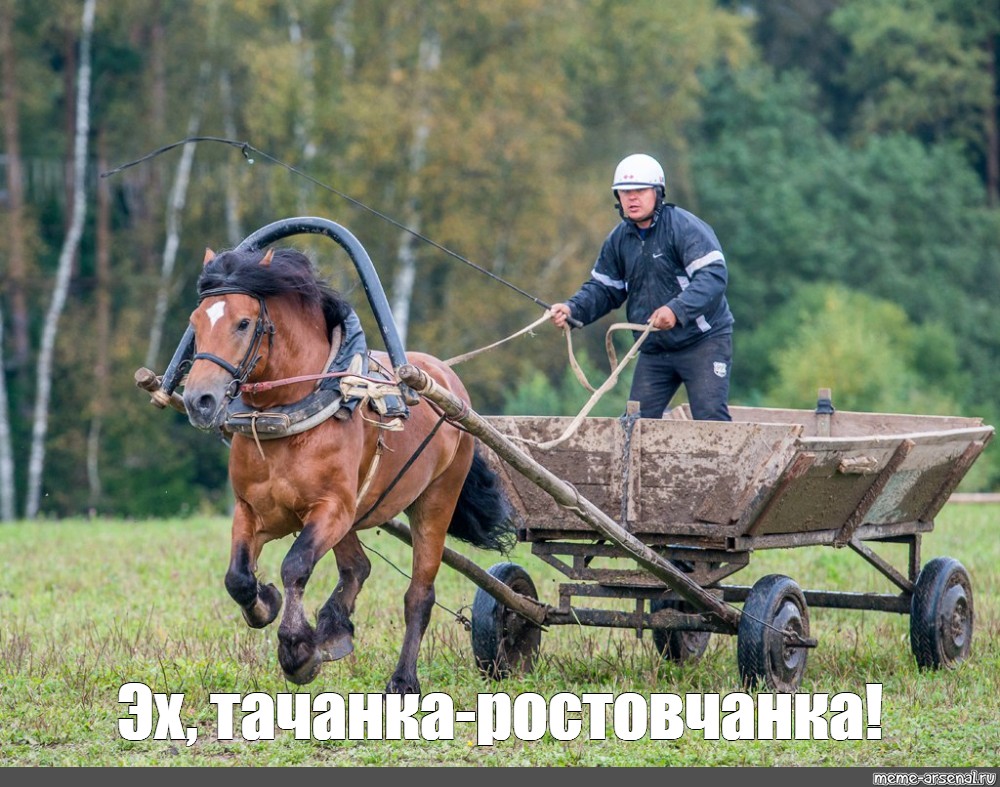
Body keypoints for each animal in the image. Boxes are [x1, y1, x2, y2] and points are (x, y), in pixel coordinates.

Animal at [181, 246, 520, 696]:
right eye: (196, 322)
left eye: (243, 322)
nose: (198, 400)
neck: (291, 415)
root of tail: (448, 381)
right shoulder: (254, 510)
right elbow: (238, 577)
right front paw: (266, 604)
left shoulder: (331, 509)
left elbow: (296, 565)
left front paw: (297, 650)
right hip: (357, 511)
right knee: (358, 566)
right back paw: (334, 628)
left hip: (434, 501)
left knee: (419, 594)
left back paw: (403, 678)